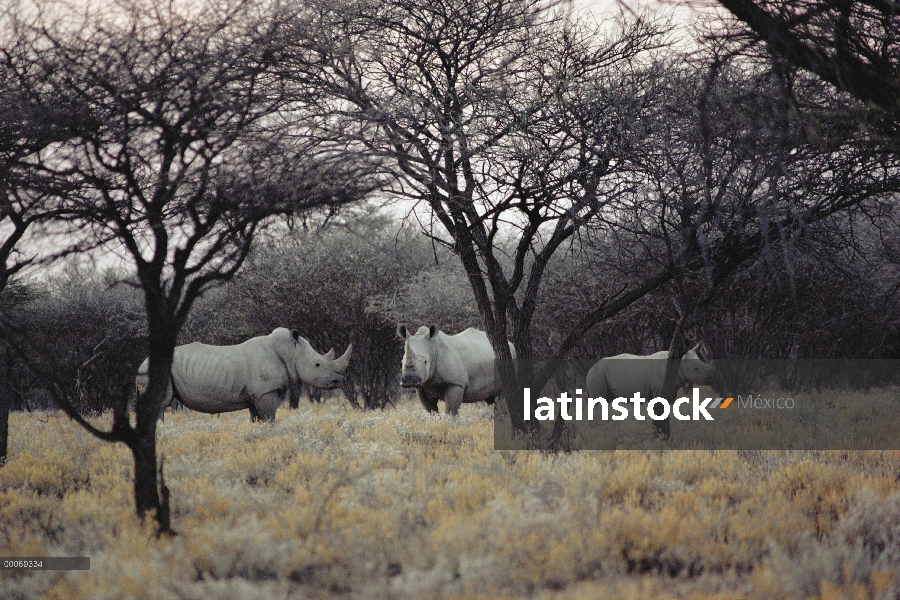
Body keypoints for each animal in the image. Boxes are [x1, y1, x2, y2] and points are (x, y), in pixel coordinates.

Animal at [135, 328, 354, 422]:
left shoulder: (257, 395)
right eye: (318, 364)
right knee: (161, 404)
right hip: (152, 370)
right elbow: (269, 418)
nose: (339, 380)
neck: (290, 352)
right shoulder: (265, 392)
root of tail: (142, 361)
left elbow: (256, 419)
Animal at [584, 342, 716, 404]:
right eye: (696, 369)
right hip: (596, 373)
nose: (711, 377)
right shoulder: (658, 389)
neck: (678, 365)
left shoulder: (672, 388)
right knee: (599, 400)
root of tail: (591, 368)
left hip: (600, 373)